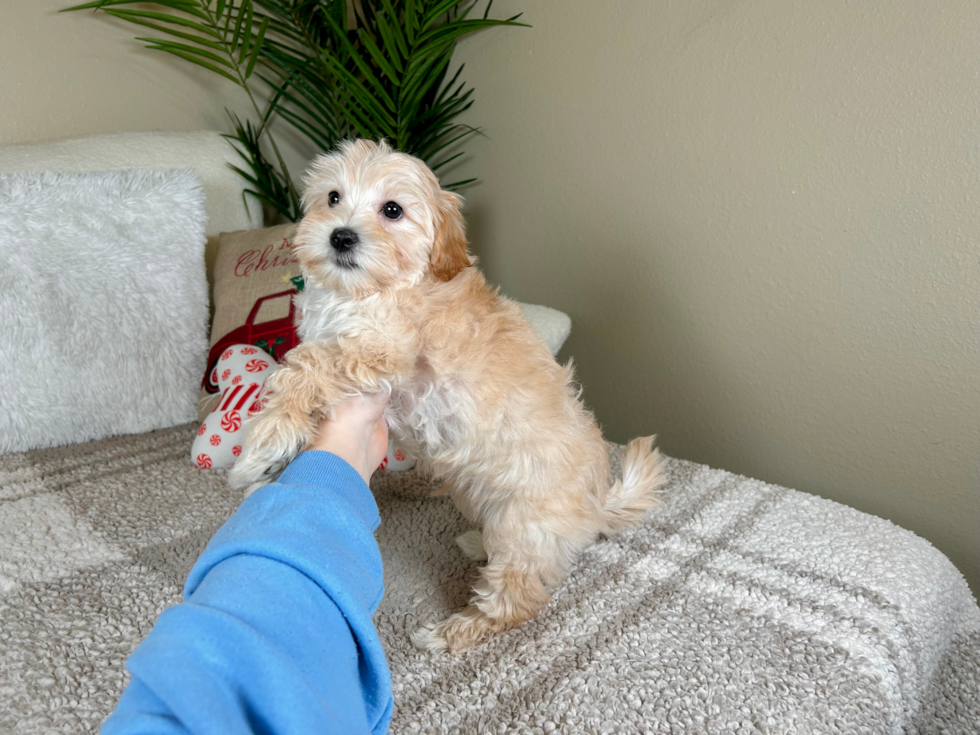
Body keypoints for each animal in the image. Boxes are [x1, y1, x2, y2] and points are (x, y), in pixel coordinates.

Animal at [228, 141, 668, 652]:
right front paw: (272, 470)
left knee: (517, 599)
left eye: (392, 210)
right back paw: (474, 542)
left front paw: (263, 445)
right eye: (333, 197)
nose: (340, 237)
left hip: (525, 526)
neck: (372, 291)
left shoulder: (381, 355)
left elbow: (305, 368)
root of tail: (597, 506)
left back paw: (456, 630)